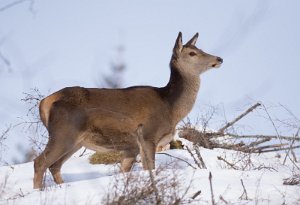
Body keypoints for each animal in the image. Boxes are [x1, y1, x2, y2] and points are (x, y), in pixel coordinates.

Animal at [33, 32, 223, 189]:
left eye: (200, 48)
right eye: (192, 53)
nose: (219, 59)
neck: (170, 107)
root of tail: (45, 102)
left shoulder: (130, 148)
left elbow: (125, 171)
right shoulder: (147, 135)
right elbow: (150, 168)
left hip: (75, 141)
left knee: (54, 165)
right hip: (63, 132)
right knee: (40, 162)